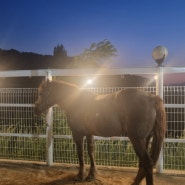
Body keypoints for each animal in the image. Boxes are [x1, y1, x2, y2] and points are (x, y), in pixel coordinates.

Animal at [34, 79, 165, 185]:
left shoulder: (77, 134)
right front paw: (91, 175)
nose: (35, 109)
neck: (76, 101)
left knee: (147, 163)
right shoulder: (89, 133)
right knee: (143, 164)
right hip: (146, 139)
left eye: (41, 93)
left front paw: (80, 176)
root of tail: (151, 98)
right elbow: (91, 152)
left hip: (137, 139)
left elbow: (80, 154)